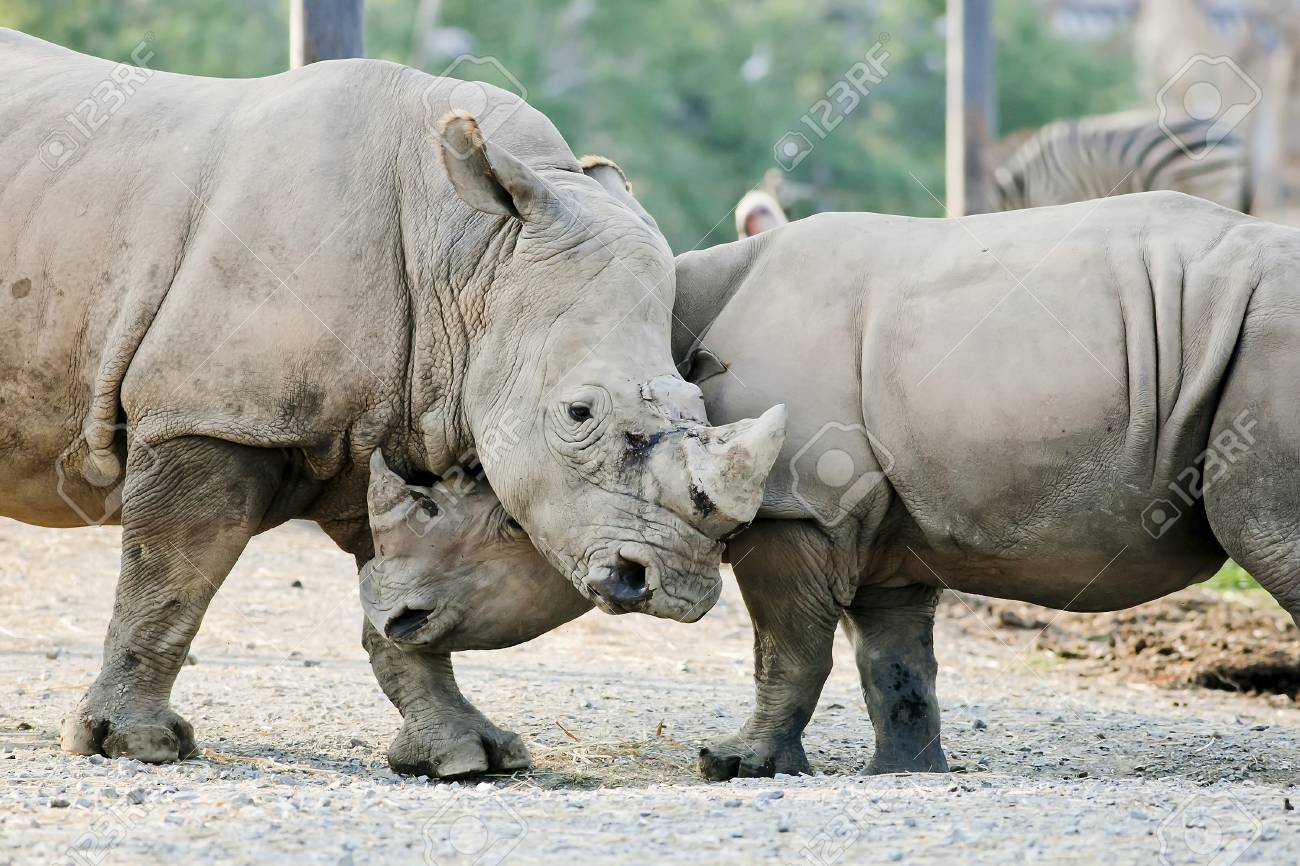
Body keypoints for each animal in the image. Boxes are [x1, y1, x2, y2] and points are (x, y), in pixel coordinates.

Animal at [0, 30, 780, 764]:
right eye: (579, 414)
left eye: (699, 406)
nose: (674, 585)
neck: (471, 257)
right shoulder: (212, 413)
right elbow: (171, 572)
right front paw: (137, 744)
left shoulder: (401, 414)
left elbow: (404, 596)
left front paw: (468, 755)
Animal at [364, 187, 1300, 774]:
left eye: (503, 520)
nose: (393, 616)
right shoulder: (892, 522)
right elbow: (894, 661)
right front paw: (910, 774)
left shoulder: (797, 507)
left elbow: (789, 648)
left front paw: (733, 765)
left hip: (1266, 337)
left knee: (1269, 537)